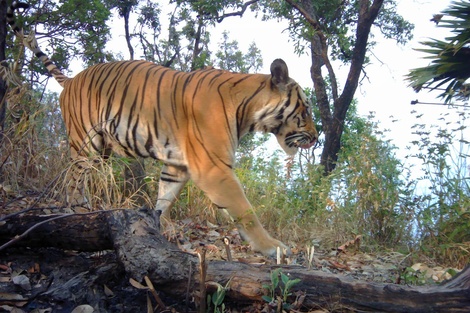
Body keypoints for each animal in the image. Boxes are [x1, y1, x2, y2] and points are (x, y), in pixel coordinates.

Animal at [7, 1, 318, 258]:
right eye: (306, 110)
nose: (316, 138)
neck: (247, 108)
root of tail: (71, 79)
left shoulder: (177, 166)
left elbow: (165, 198)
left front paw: (156, 226)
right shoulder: (214, 168)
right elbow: (245, 210)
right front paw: (273, 248)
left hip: (102, 150)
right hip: (86, 144)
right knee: (72, 179)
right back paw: (77, 210)